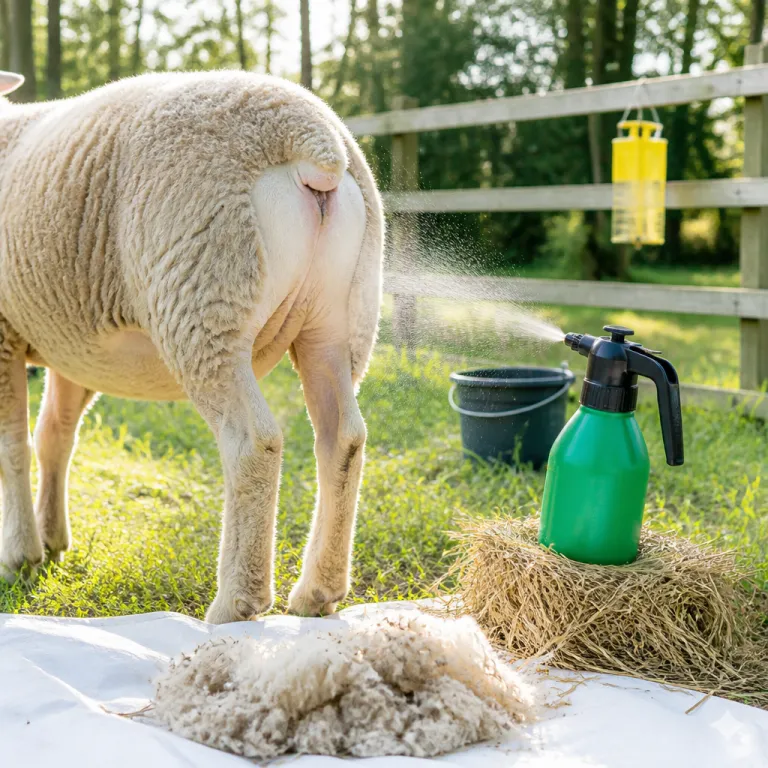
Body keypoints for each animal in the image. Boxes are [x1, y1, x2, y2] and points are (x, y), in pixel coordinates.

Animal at [0, 70, 384, 624]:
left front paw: (21, 556)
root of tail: (312, 139)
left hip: (205, 295)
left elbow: (13, 445)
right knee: (343, 437)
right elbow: (55, 437)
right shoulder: (72, 344)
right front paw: (52, 541)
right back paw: (318, 592)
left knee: (252, 441)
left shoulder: (6, 330)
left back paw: (236, 604)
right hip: (340, 318)